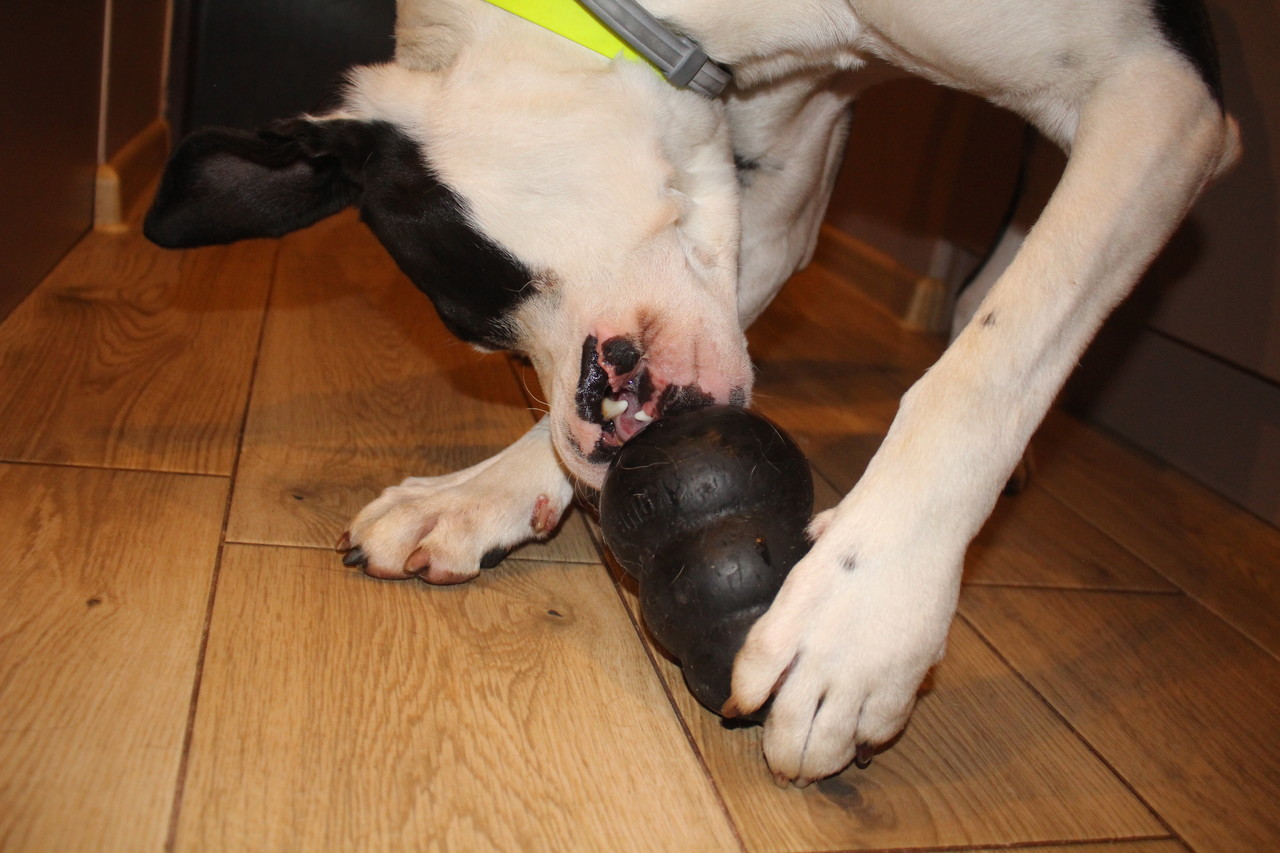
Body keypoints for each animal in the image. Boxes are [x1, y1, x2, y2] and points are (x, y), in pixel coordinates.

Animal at [145, 0, 1240, 786]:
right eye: (485, 333)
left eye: (492, 297)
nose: (603, 447)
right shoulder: (768, 188)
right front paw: (479, 493)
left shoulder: (1156, 95)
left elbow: (993, 355)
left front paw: (865, 610)